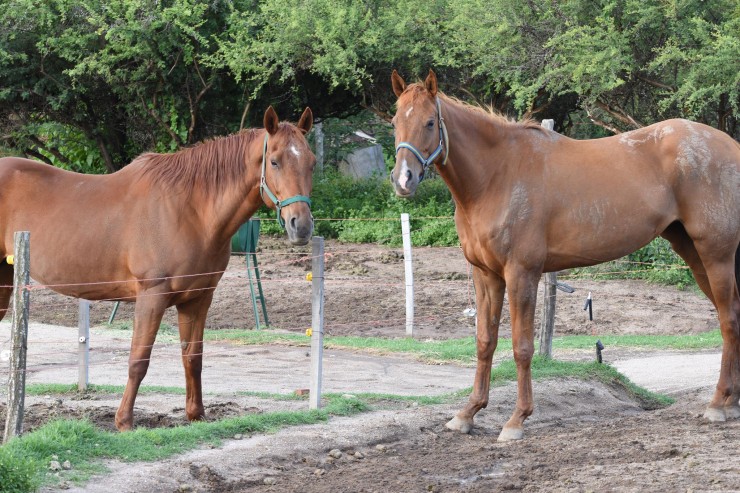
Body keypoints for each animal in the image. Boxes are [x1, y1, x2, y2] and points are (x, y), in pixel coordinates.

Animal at [0, 105, 316, 428]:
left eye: (312, 164)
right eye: (274, 161)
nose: (301, 227)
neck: (190, 210)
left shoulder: (198, 299)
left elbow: (193, 356)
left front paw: (195, 414)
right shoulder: (152, 297)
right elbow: (139, 360)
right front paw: (124, 422)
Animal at [390, 68, 736, 438]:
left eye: (429, 122)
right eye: (395, 121)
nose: (403, 179)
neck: (498, 174)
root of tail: (729, 145)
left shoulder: (522, 274)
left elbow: (522, 347)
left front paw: (517, 419)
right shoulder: (487, 276)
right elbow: (485, 342)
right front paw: (468, 413)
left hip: (716, 254)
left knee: (728, 319)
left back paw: (718, 404)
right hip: (693, 253)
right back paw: (732, 401)